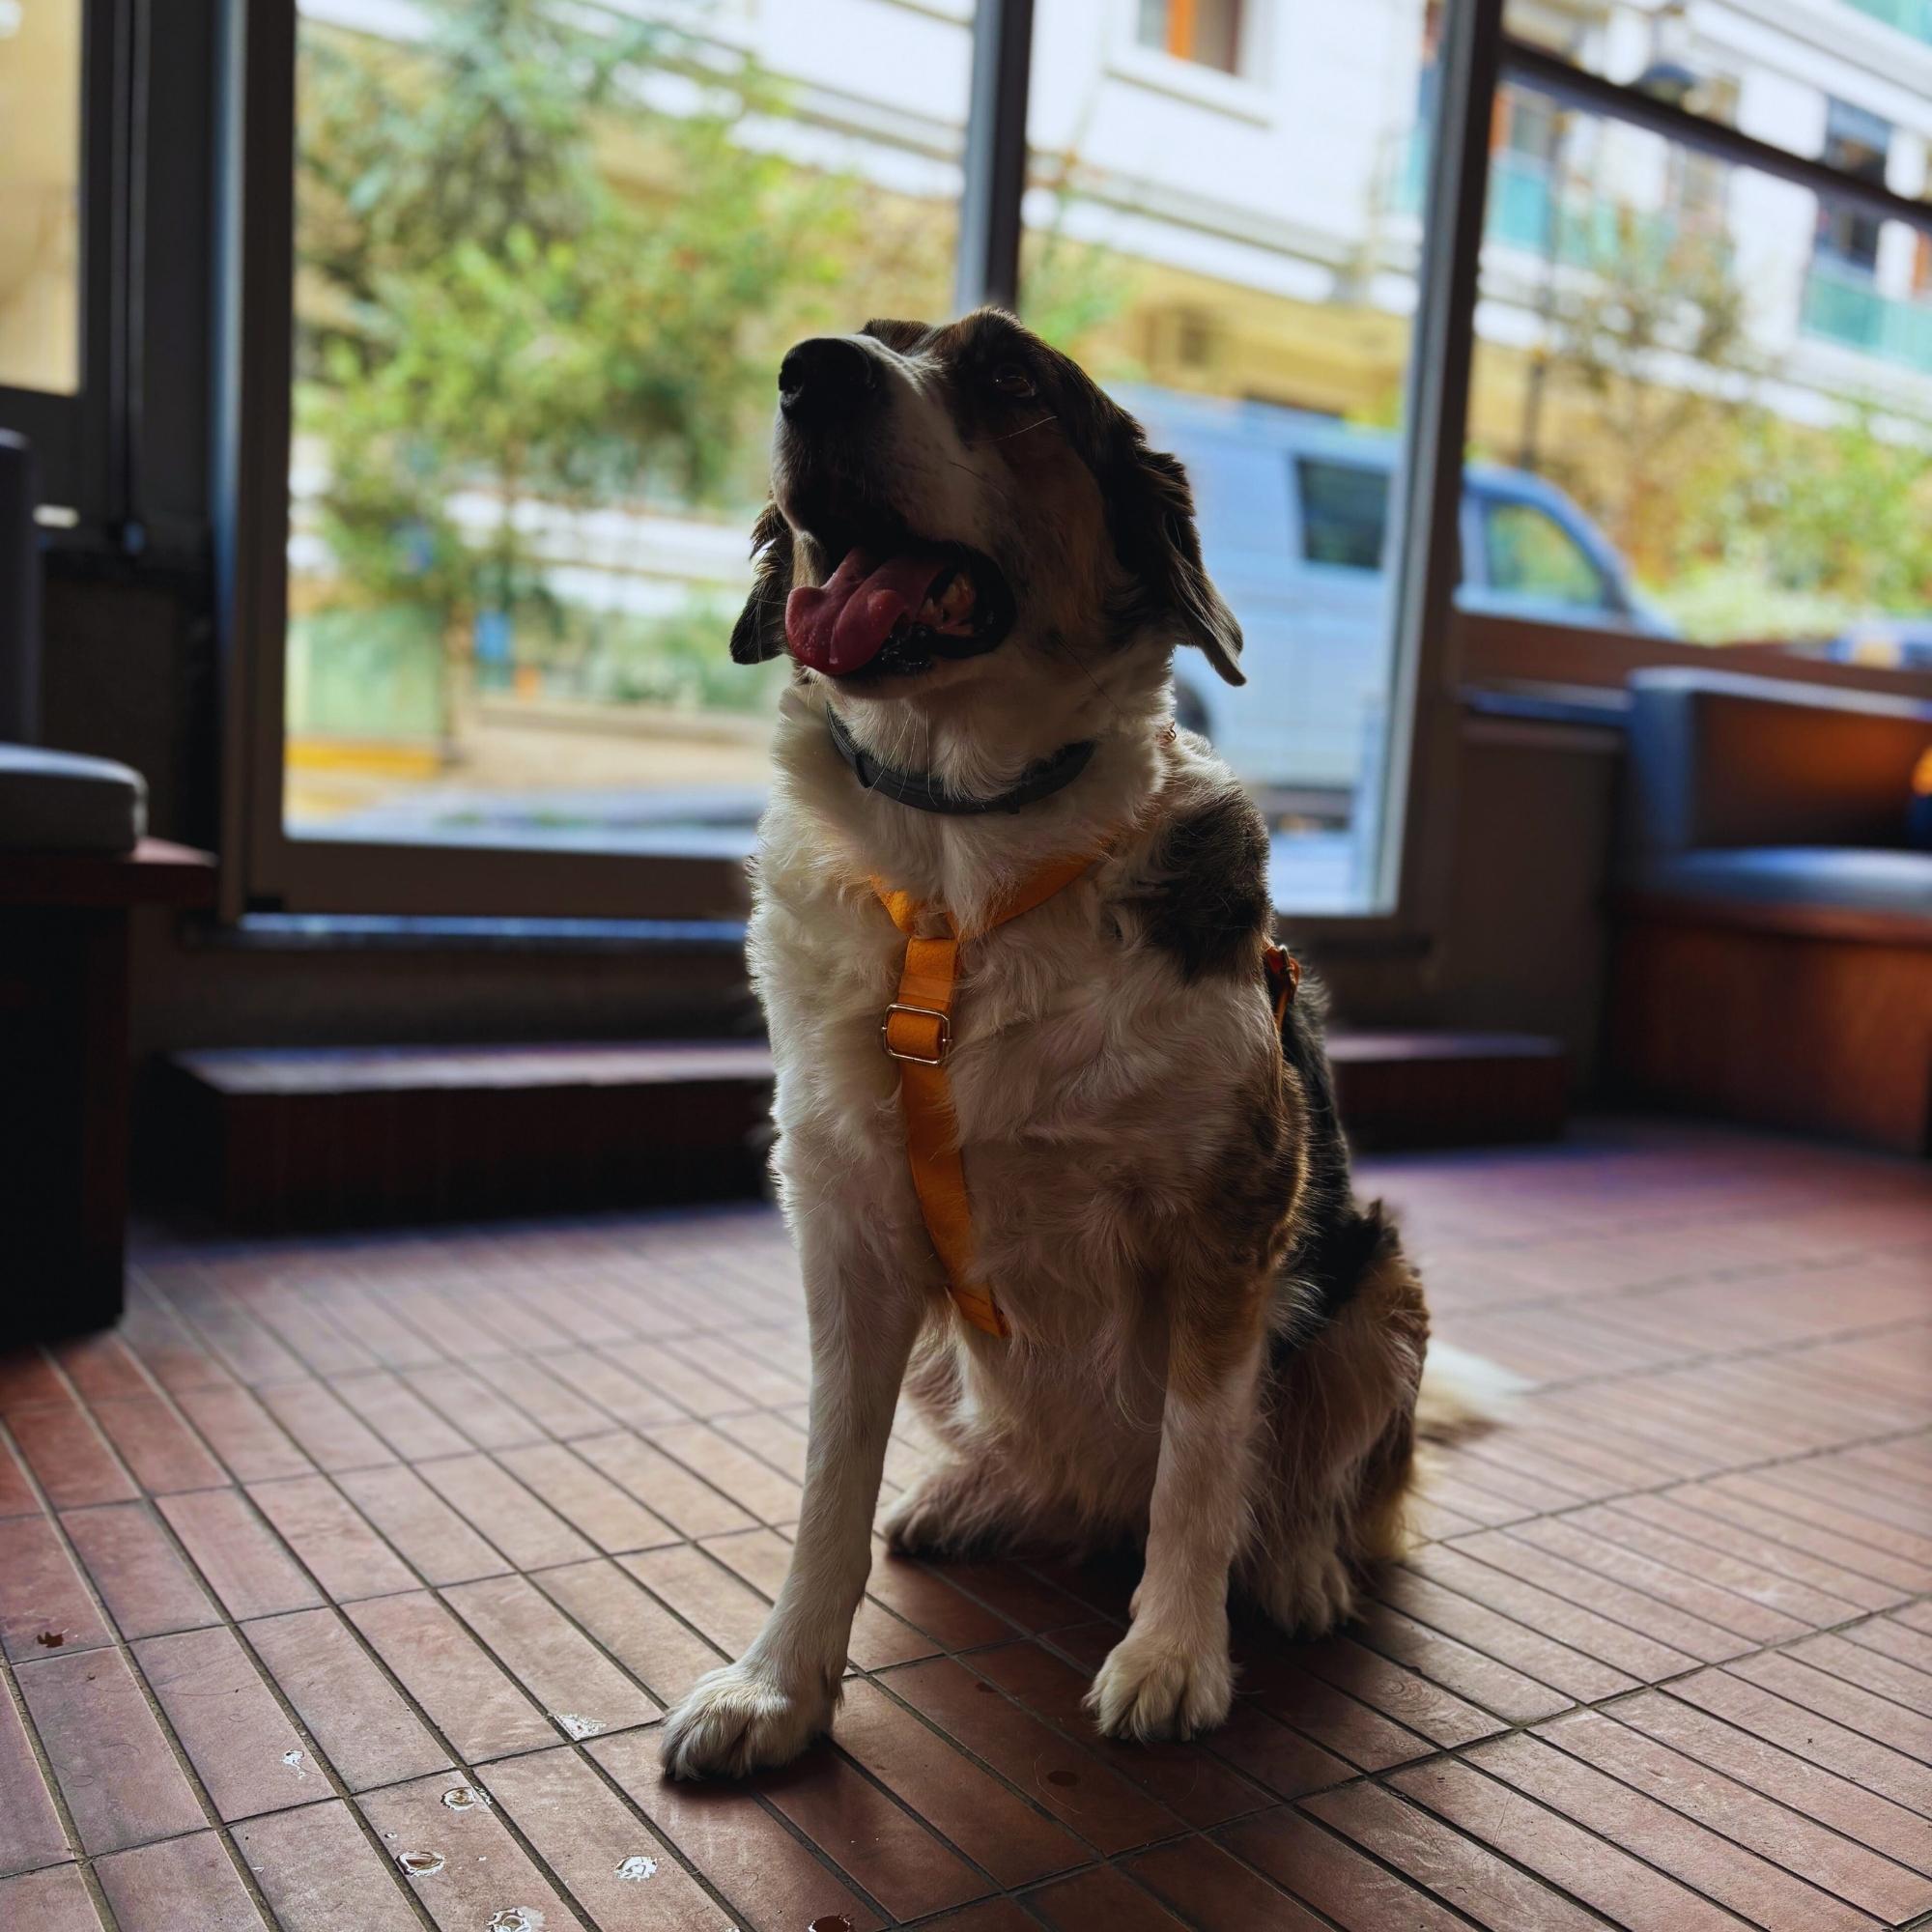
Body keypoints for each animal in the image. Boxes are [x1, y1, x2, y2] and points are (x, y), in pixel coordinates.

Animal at [657, 309, 1468, 1770]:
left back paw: (1297, 1569)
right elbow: (825, 1478)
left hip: (1379, 1288)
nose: (812, 369)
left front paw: (1172, 1653)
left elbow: (1205, 1456)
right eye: (871, 337)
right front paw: (778, 1685)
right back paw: (982, 1492)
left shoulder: (1233, 1216)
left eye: (1009, 378)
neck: (962, 879)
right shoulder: (848, 1228)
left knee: (1315, 1484)